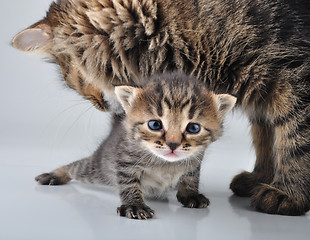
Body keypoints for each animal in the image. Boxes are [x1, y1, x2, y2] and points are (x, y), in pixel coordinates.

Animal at [35, 72, 236, 219]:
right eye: (155, 124)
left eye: (193, 128)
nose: (172, 144)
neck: (165, 164)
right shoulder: (125, 161)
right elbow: (129, 183)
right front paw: (135, 205)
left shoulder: (195, 160)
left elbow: (191, 176)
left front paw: (190, 194)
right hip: (97, 170)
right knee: (74, 167)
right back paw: (54, 175)